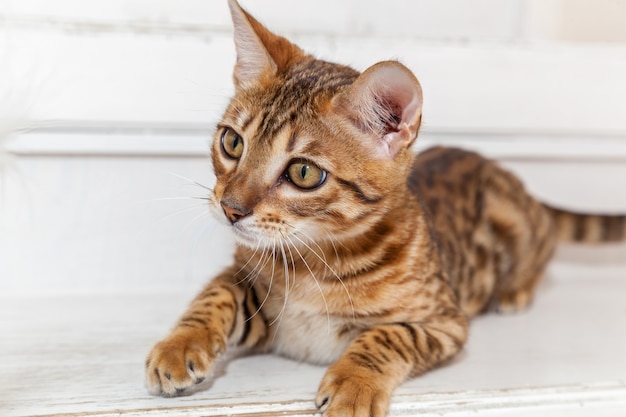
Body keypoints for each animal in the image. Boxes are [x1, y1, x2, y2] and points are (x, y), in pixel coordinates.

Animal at [145, 1, 624, 414]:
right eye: (232, 142)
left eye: (303, 173)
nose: (230, 208)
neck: (313, 264)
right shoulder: (248, 281)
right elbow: (214, 294)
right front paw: (179, 346)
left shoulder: (444, 320)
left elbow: (388, 336)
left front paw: (354, 384)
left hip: (516, 221)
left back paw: (515, 289)